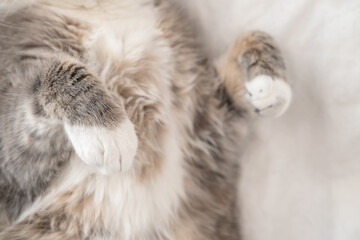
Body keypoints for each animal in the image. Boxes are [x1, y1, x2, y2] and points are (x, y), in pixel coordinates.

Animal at [0, 0, 292, 239]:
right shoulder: (15, 179)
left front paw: (269, 83)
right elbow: (50, 73)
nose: (267, 84)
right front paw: (110, 131)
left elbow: (257, 35)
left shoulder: (208, 119)